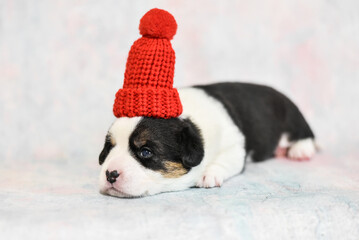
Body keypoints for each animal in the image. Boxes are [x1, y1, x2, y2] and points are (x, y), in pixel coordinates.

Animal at [97, 81, 316, 198]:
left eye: (145, 152)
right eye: (109, 149)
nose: (110, 174)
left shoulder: (235, 144)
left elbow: (225, 160)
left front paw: (208, 175)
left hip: (292, 116)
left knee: (304, 133)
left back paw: (301, 150)